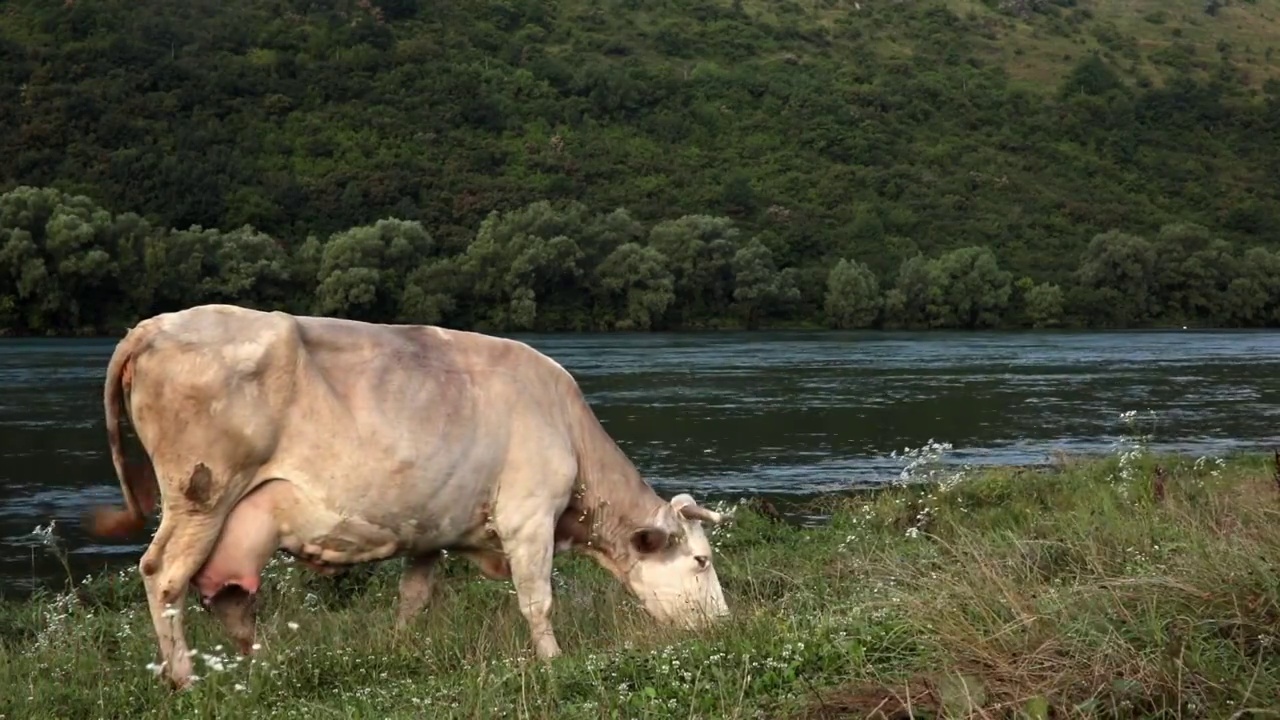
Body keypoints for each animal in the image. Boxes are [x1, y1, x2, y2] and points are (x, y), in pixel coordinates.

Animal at [85, 301, 732, 681]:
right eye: (702, 560)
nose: (725, 624)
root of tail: (153, 325)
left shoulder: (431, 527)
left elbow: (413, 598)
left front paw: (398, 649)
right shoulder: (528, 515)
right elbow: (537, 598)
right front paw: (553, 661)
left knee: (228, 596)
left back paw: (257, 667)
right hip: (201, 492)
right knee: (163, 575)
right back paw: (183, 679)